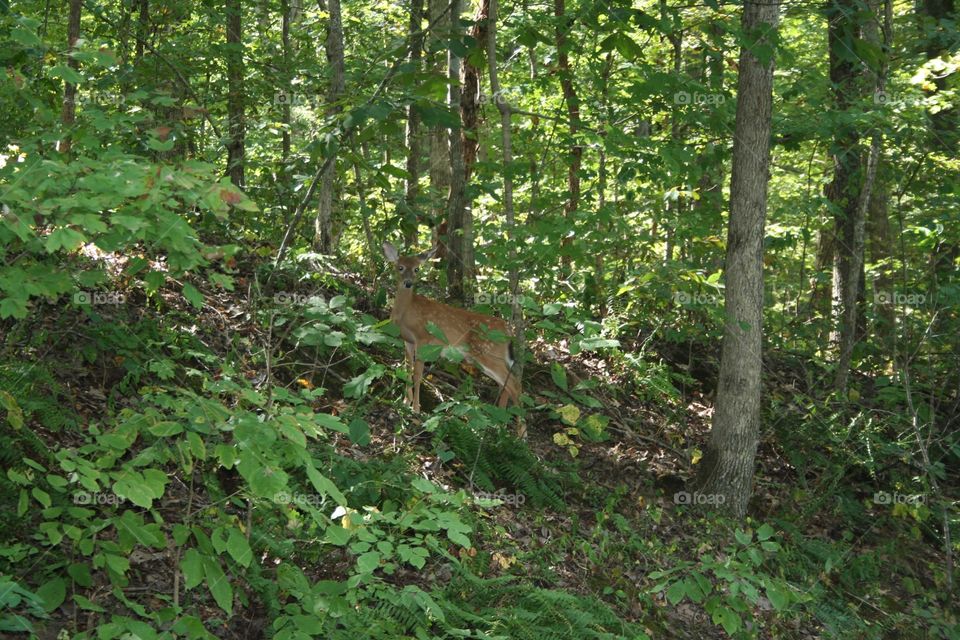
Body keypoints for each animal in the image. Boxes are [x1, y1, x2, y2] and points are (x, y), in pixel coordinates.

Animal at [380, 242, 524, 432]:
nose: (408, 283)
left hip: (488, 352)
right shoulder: (407, 341)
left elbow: (418, 374)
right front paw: (405, 401)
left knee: (515, 383)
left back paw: (520, 433)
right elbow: (407, 369)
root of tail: (508, 331)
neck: (406, 312)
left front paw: (416, 409)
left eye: (417, 269)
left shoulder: (423, 339)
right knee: (506, 384)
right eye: (400, 267)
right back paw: (499, 424)